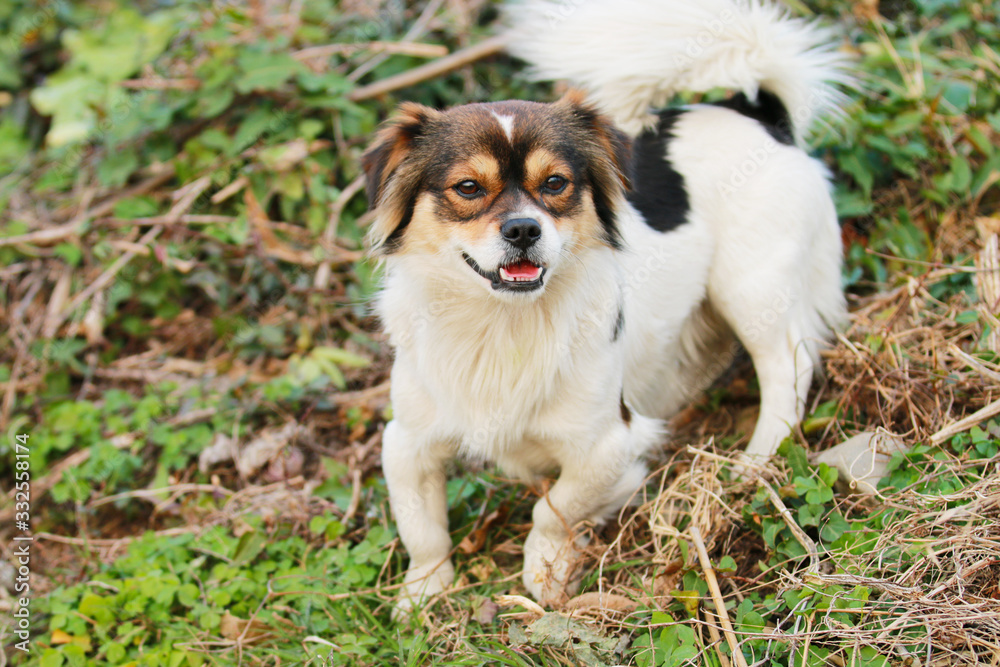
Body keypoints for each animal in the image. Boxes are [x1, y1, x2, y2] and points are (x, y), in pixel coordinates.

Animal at [364, 0, 848, 612]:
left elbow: (554, 507)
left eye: (555, 183)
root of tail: (756, 114)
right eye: (469, 188)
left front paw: (546, 570)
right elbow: (422, 527)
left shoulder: (609, 444)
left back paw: (754, 461)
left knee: (788, 368)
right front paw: (424, 593)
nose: (523, 229)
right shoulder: (407, 442)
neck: (502, 323)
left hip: (751, 287)